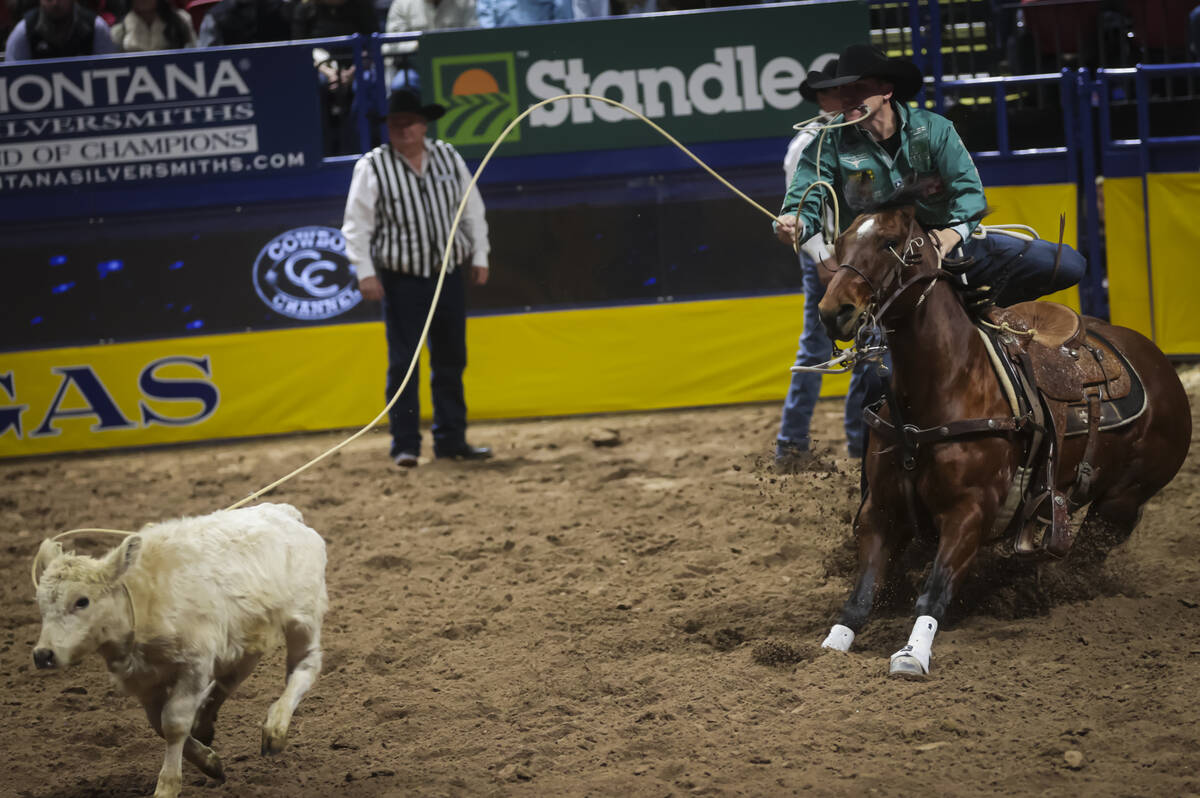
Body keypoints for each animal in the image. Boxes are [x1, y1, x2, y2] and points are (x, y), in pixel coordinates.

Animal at [31, 504, 328, 796]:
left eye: (82, 601)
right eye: (41, 604)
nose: (43, 654)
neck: (142, 600)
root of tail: (286, 513)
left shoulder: (193, 665)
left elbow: (173, 723)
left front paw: (168, 785)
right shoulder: (144, 680)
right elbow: (157, 723)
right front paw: (209, 762)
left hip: (302, 616)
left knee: (305, 666)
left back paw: (276, 727)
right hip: (246, 636)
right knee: (231, 678)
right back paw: (206, 721)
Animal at [816, 202, 1190, 676]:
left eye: (890, 243)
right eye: (841, 242)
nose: (833, 311)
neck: (944, 386)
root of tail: (1160, 363)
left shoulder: (969, 514)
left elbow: (935, 589)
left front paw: (912, 653)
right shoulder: (881, 511)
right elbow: (862, 595)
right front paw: (832, 644)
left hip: (1121, 502)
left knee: (1082, 553)